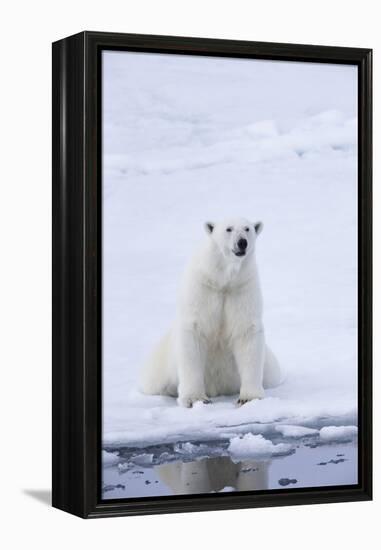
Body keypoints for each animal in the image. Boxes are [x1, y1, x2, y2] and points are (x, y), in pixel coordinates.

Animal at [141, 218, 280, 408]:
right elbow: (193, 333)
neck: (222, 279)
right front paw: (195, 399)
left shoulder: (241, 289)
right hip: (160, 365)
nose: (242, 242)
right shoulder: (202, 289)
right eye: (229, 229)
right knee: (153, 381)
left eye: (247, 228)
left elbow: (246, 332)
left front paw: (249, 398)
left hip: (269, 367)